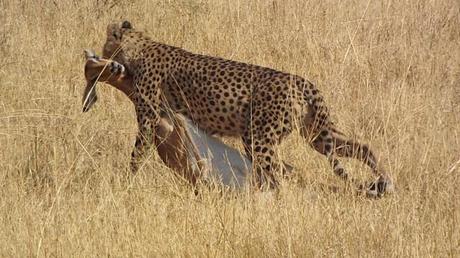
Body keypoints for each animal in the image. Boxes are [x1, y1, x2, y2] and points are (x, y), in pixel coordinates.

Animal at [94, 21, 396, 197]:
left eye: (106, 42)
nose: (99, 52)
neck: (140, 44)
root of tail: (302, 80)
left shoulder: (148, 118)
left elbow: (136, 154)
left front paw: (125, 182)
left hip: (259, 138)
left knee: (279, 172)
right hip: (317, 135)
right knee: (361, 147)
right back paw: (383, 177)